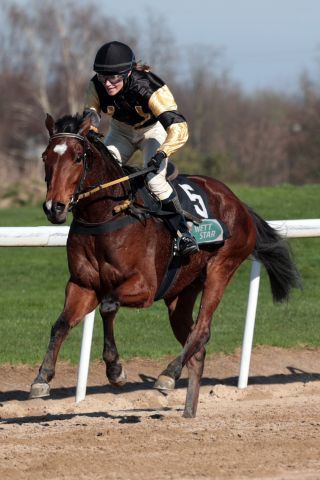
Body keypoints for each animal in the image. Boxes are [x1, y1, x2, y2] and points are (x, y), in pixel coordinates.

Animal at [30, 112, 300, 416]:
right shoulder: (83, 285)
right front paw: (42, 378)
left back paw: (168, 375)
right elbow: (61, 324)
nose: (54, 207)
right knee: (195, 342)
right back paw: (188, 409)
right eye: (45, 156)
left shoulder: (145, 287)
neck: (106, 216)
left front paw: (115, 369)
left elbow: (108, 306)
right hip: (180, 293)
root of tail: (237, 202)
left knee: (202, 329)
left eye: (77, 157)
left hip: (222, 267)